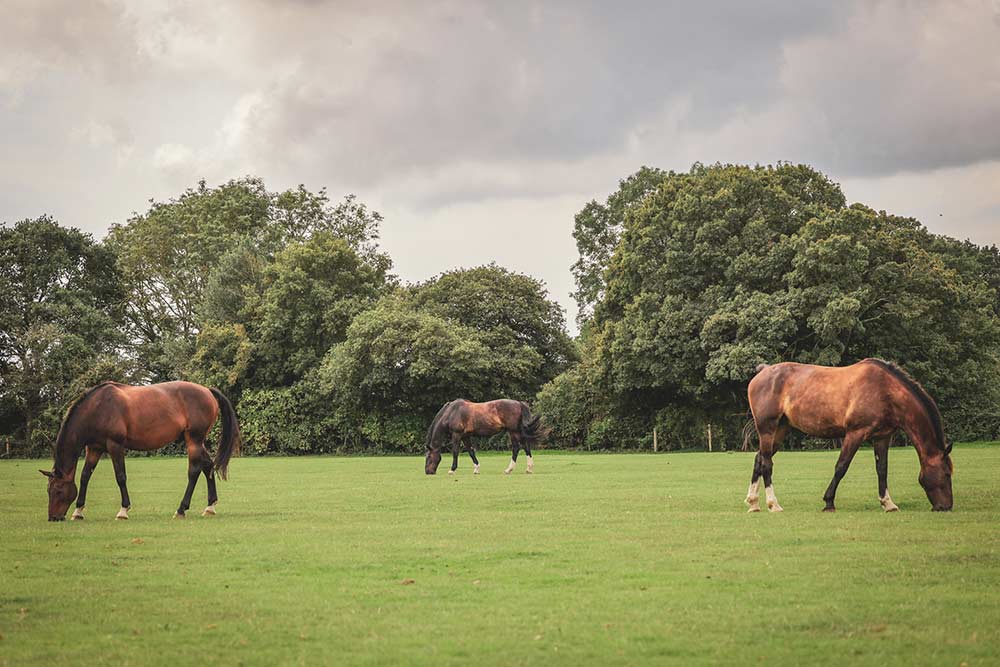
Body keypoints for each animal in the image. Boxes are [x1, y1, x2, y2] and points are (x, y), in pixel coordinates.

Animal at [40, 381, 242, 521]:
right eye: (48, 491)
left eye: (58, 490)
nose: (53, 518)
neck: (98, 408)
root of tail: (207, 390)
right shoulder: (94, 448)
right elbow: (84, 477)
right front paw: (78, 511)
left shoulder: (115, 446)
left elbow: (120, 476)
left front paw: (123, 510)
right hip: (197, 441)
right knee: (208, 466)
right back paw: (210, 507)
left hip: (194, 440)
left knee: (194, 471)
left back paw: (181, 509)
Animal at [745, 358, 953, 513]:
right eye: (946, 473)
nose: (946, 506)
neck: (884, 390)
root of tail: (763, 372)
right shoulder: (855, 434)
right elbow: (841, 467)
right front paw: (829, 502)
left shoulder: (882, 437)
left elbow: (882, 469)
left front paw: (888, 503)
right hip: (768, 429)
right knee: (766, 464)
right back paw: (773, 504)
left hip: (780, 430)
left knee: (759, 459)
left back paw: (754, 503)